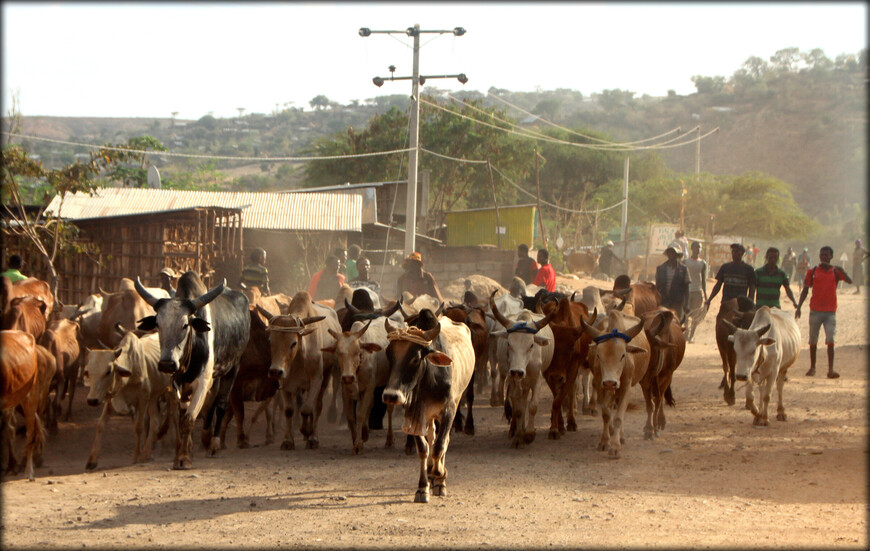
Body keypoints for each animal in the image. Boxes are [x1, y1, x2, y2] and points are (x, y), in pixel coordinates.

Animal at [85, 330, 172, 472]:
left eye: (108, 371)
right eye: (87, 371)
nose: (92, 400)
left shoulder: (142, 399)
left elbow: (139, 427)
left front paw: (136, 456)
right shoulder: (110, 400)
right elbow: (100, 425)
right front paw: (92, 461)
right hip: (153, 397)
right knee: (155, 421)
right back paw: (146, 454)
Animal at [134, 272, 249, 470]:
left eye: (185, 325)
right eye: (158, 324)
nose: (166, 364)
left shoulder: (202, 382)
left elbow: (189, 419)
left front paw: (183, 458)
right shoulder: (176, 384)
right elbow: (181, 418)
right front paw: (183, 451)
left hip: (233, 367)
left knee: (220, 404)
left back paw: (214, 445)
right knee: (211, 404)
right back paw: (205, 439)